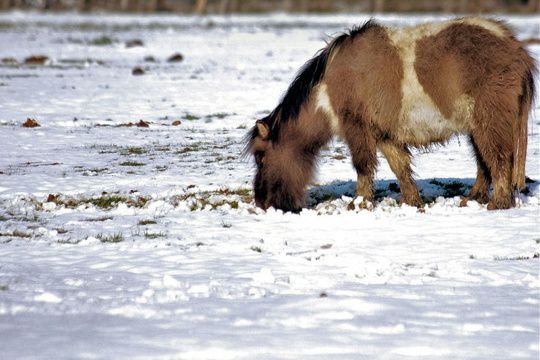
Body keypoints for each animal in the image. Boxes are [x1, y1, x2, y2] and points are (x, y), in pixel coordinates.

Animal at [245, 16, 536, 212]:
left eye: (261, 157)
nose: (262, 203)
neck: (329, 88)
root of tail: (517, 50)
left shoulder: (357, 129)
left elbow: (363, 166)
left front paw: (359, 203)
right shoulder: (385, 135)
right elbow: (400, 168)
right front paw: (411, 202)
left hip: (489, 122)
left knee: (498, 160)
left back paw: (498, 203)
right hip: (476, 127)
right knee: (484, 163)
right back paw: (473, 198)